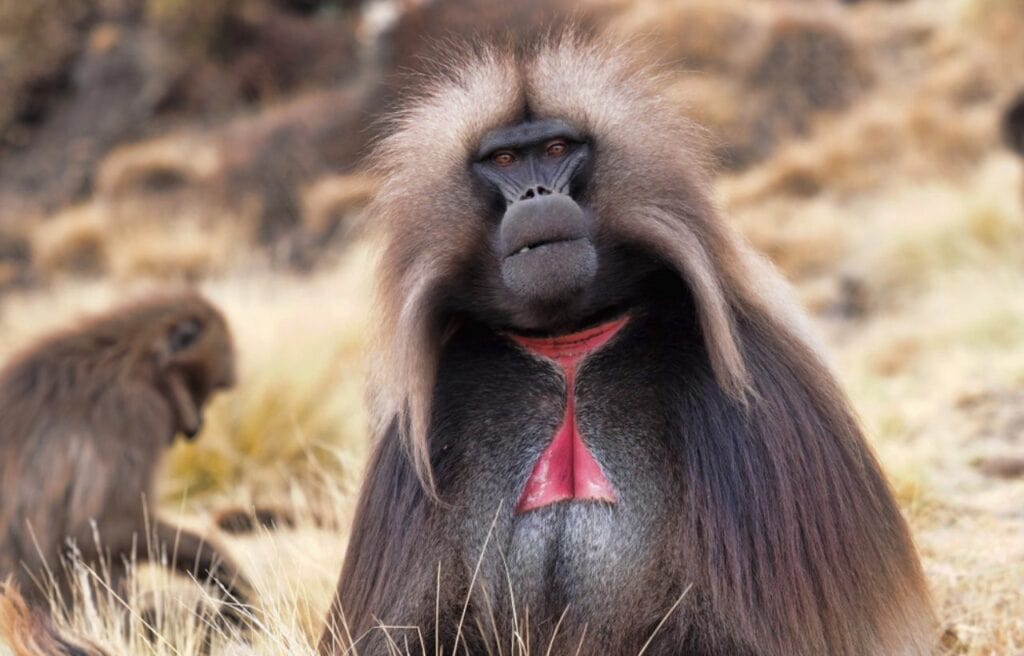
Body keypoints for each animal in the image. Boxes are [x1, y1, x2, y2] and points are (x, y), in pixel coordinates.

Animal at [0, 292, 252, 620]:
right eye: (203, 392)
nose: (198, 425)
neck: (132, 360)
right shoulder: (135, 410)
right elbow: (95, 527)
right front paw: (223, 574)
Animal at [318, 33, 936, 656]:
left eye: (558, 148)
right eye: (505, 161)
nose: (536, 195)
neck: (568, 344)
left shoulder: (753, 399)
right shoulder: (437, 406)